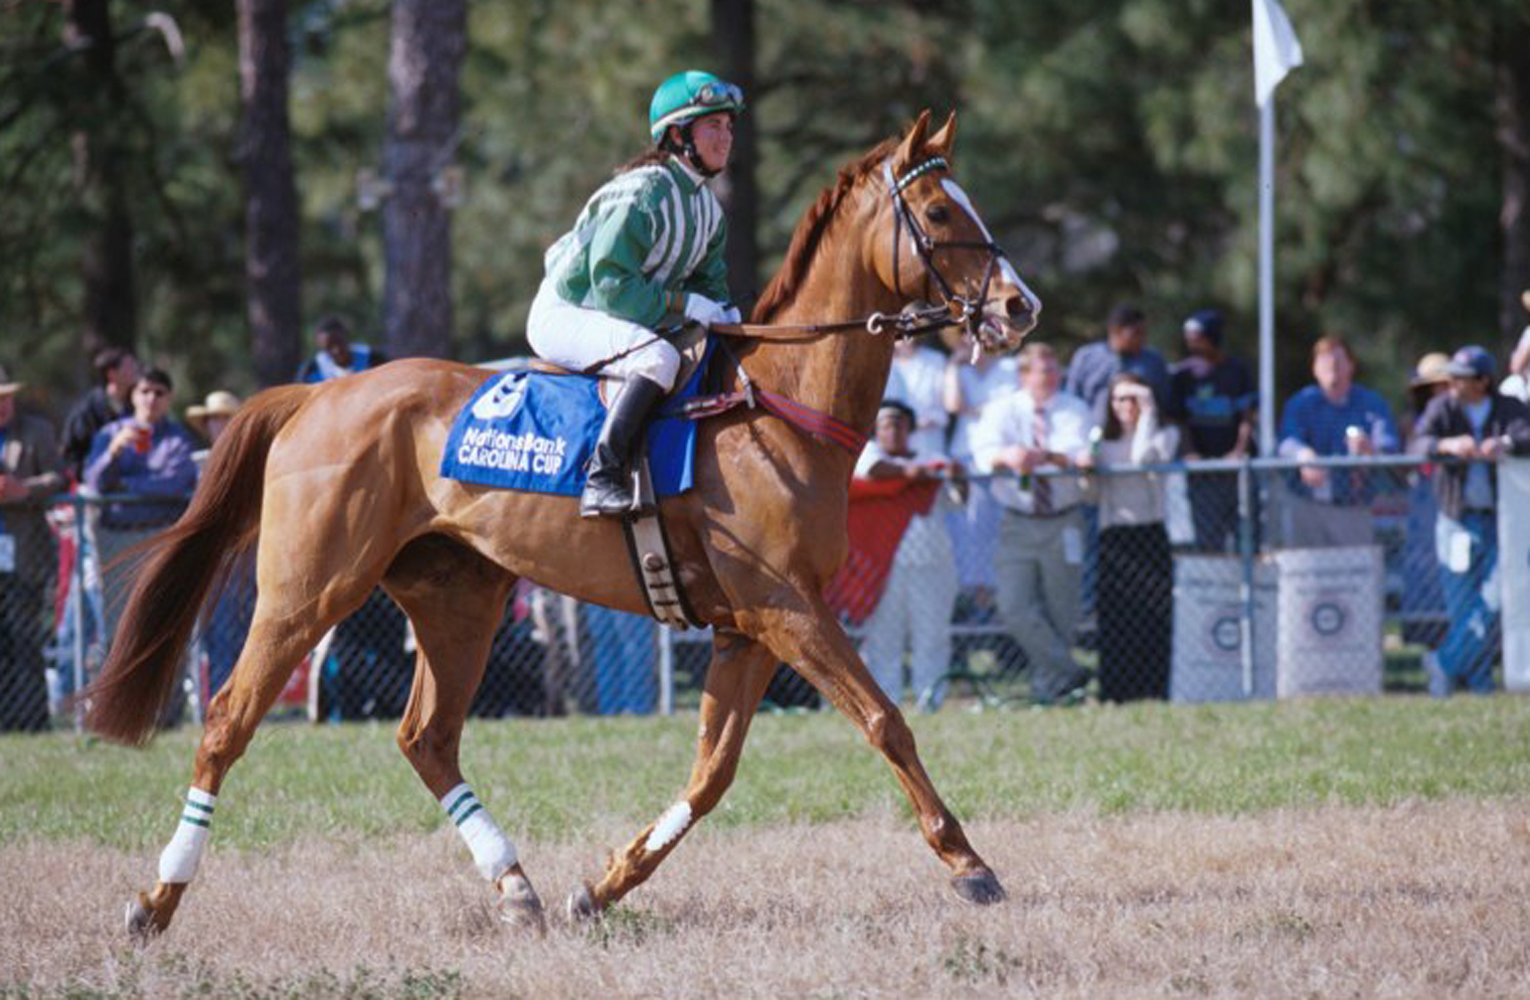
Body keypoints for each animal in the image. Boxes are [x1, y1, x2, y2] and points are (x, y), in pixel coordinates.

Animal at [86, 111, 1040, 941]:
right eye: (940, 211)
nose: (1020, 307)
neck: (776, 405)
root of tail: (317, 394)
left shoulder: (749, 628)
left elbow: (711, 773)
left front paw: (605, 884)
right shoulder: (787, 610)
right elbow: (885, 721)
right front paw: (970, 864)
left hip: (458, 600)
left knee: (426, 737)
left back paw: (517, 887)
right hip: (306, 590)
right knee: (228, 720)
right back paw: (155, 900)